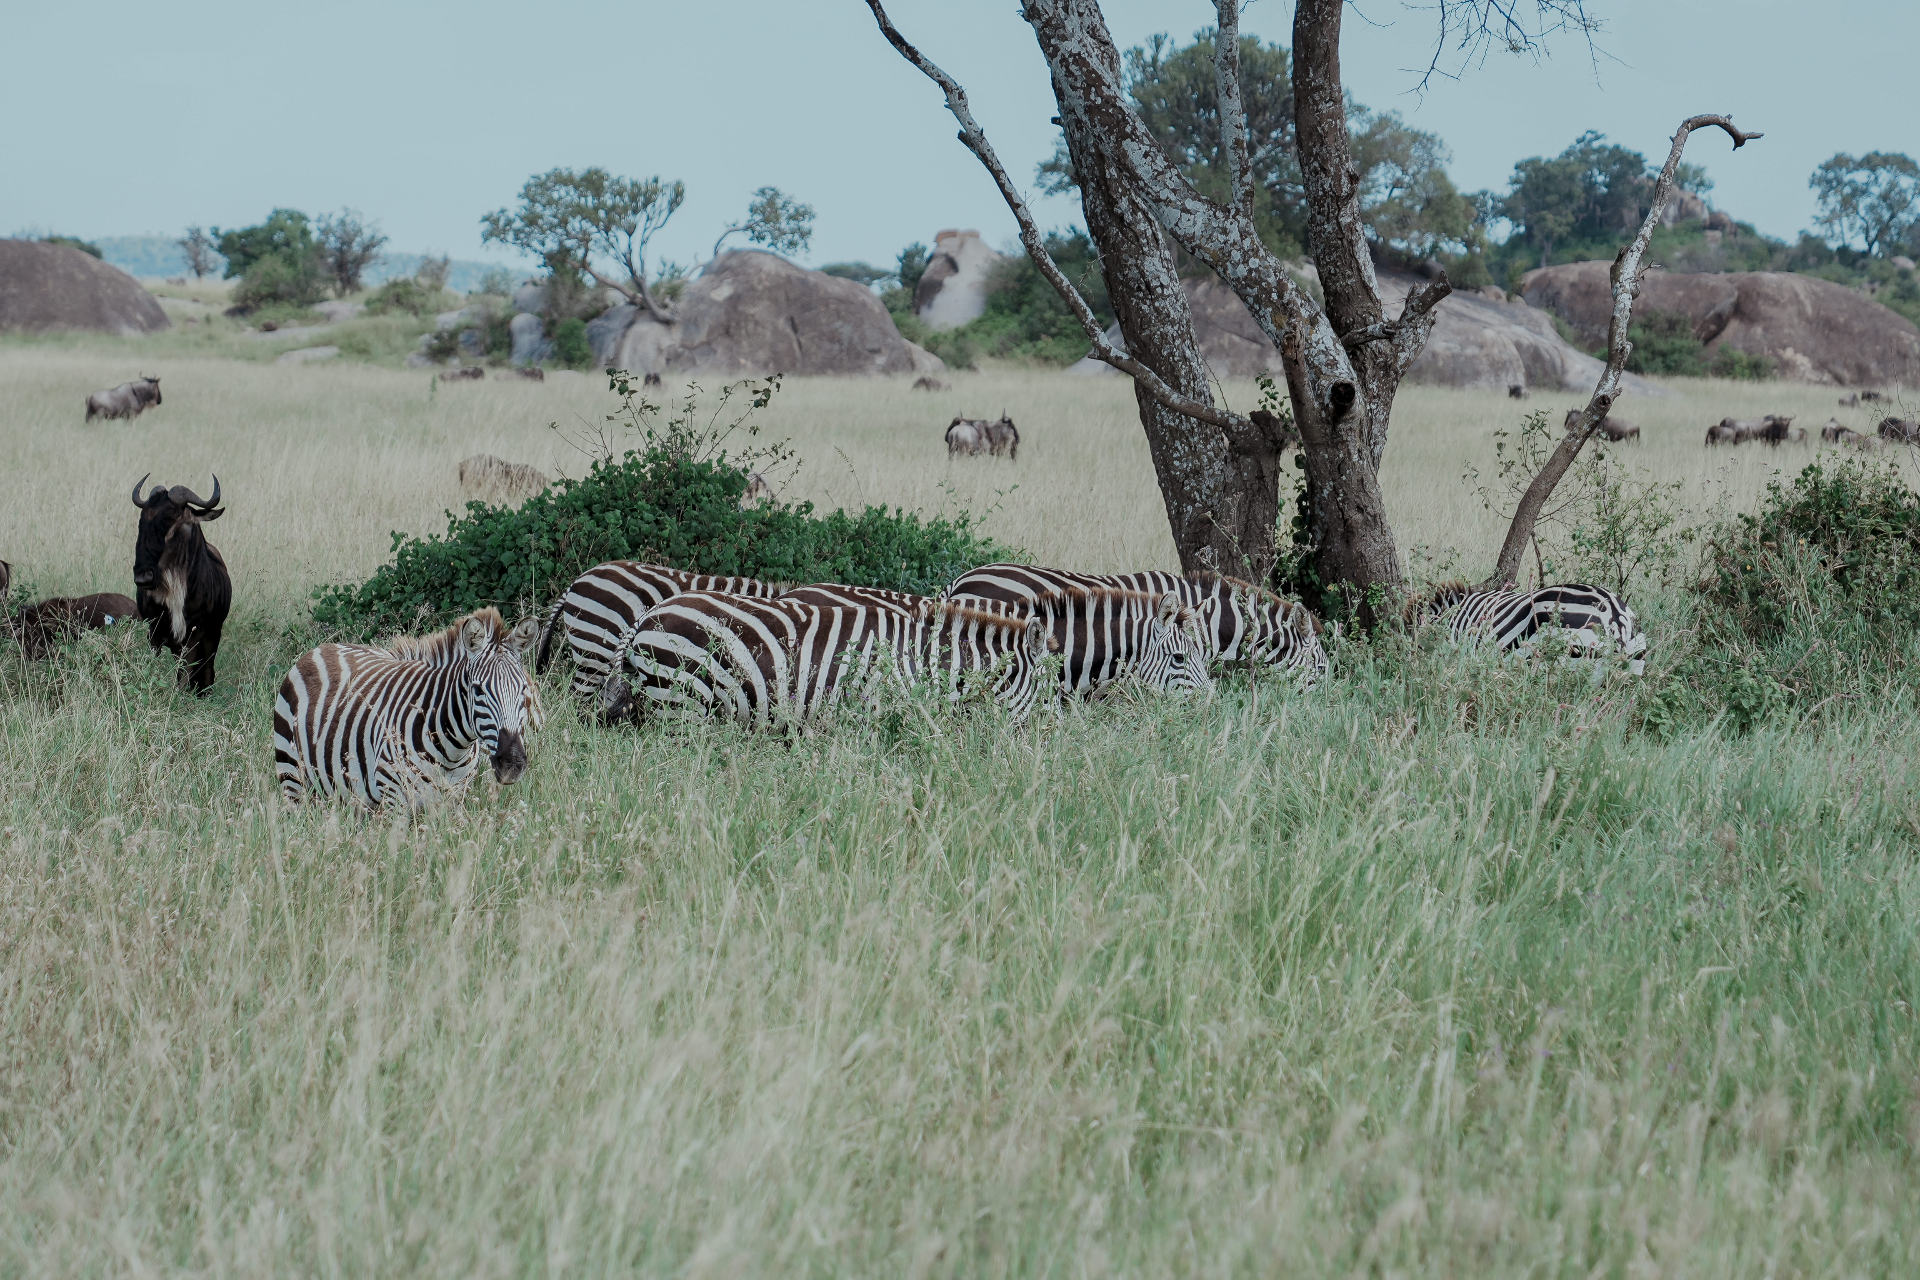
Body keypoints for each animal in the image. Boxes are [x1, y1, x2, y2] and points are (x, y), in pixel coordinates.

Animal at [273, 608, 543, 810]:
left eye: (523, 690)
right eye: (478, 691)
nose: (512, 764)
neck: (452, 751)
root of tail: (323, 647)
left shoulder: (454, 800)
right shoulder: (395, 799)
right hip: (293, 778)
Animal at [598, 590, 1055, 730]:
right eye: (1047, 691)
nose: (1053, 742)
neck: (918, 664)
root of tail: (646, 616)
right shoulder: (875, 717)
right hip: (681, 704)